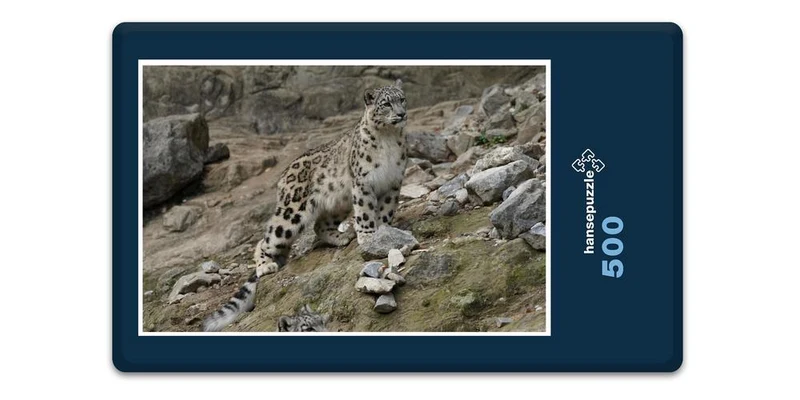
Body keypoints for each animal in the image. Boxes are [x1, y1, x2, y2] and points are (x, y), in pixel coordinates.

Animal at [202, 79, 408, 332]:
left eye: (402, 99)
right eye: (386, 103)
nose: (401, 114)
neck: (388, 139)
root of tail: (283, 176)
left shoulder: (393, 183)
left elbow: (386, 212)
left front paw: (385, 231)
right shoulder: (363, 183)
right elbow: (366, 212)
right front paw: (370, 236)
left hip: (337, 203)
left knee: (320, 226)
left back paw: (341, 236)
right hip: (291, 213)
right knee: (266, 239)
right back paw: (266, 265)